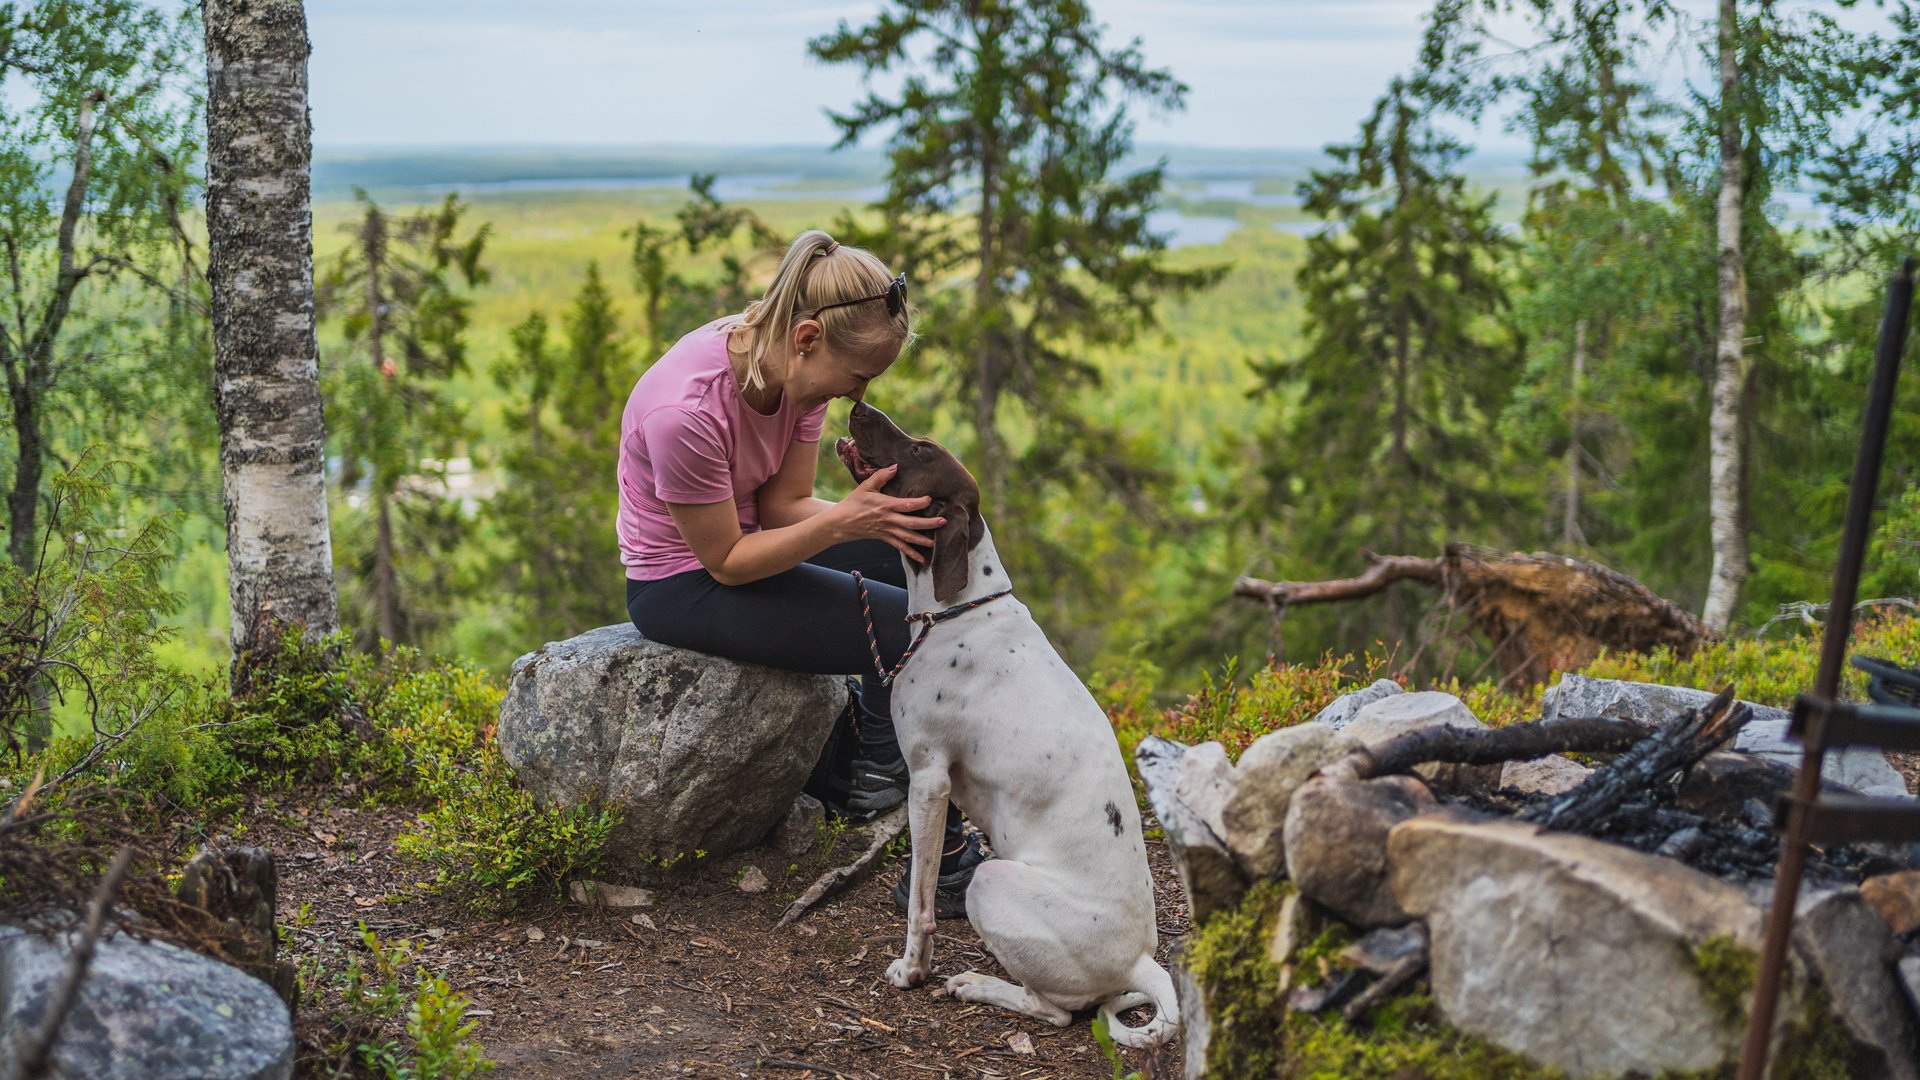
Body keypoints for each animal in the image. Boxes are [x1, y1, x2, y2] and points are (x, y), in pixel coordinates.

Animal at [837, 401, 1175, 1045]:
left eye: (919, 448)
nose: (861, 404)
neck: (957, 609)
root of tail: (1142, 961)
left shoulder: (928, 778)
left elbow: (920, 905)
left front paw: (912, 970)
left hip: (992, 882)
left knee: (1057, 1010)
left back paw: (977, 984)